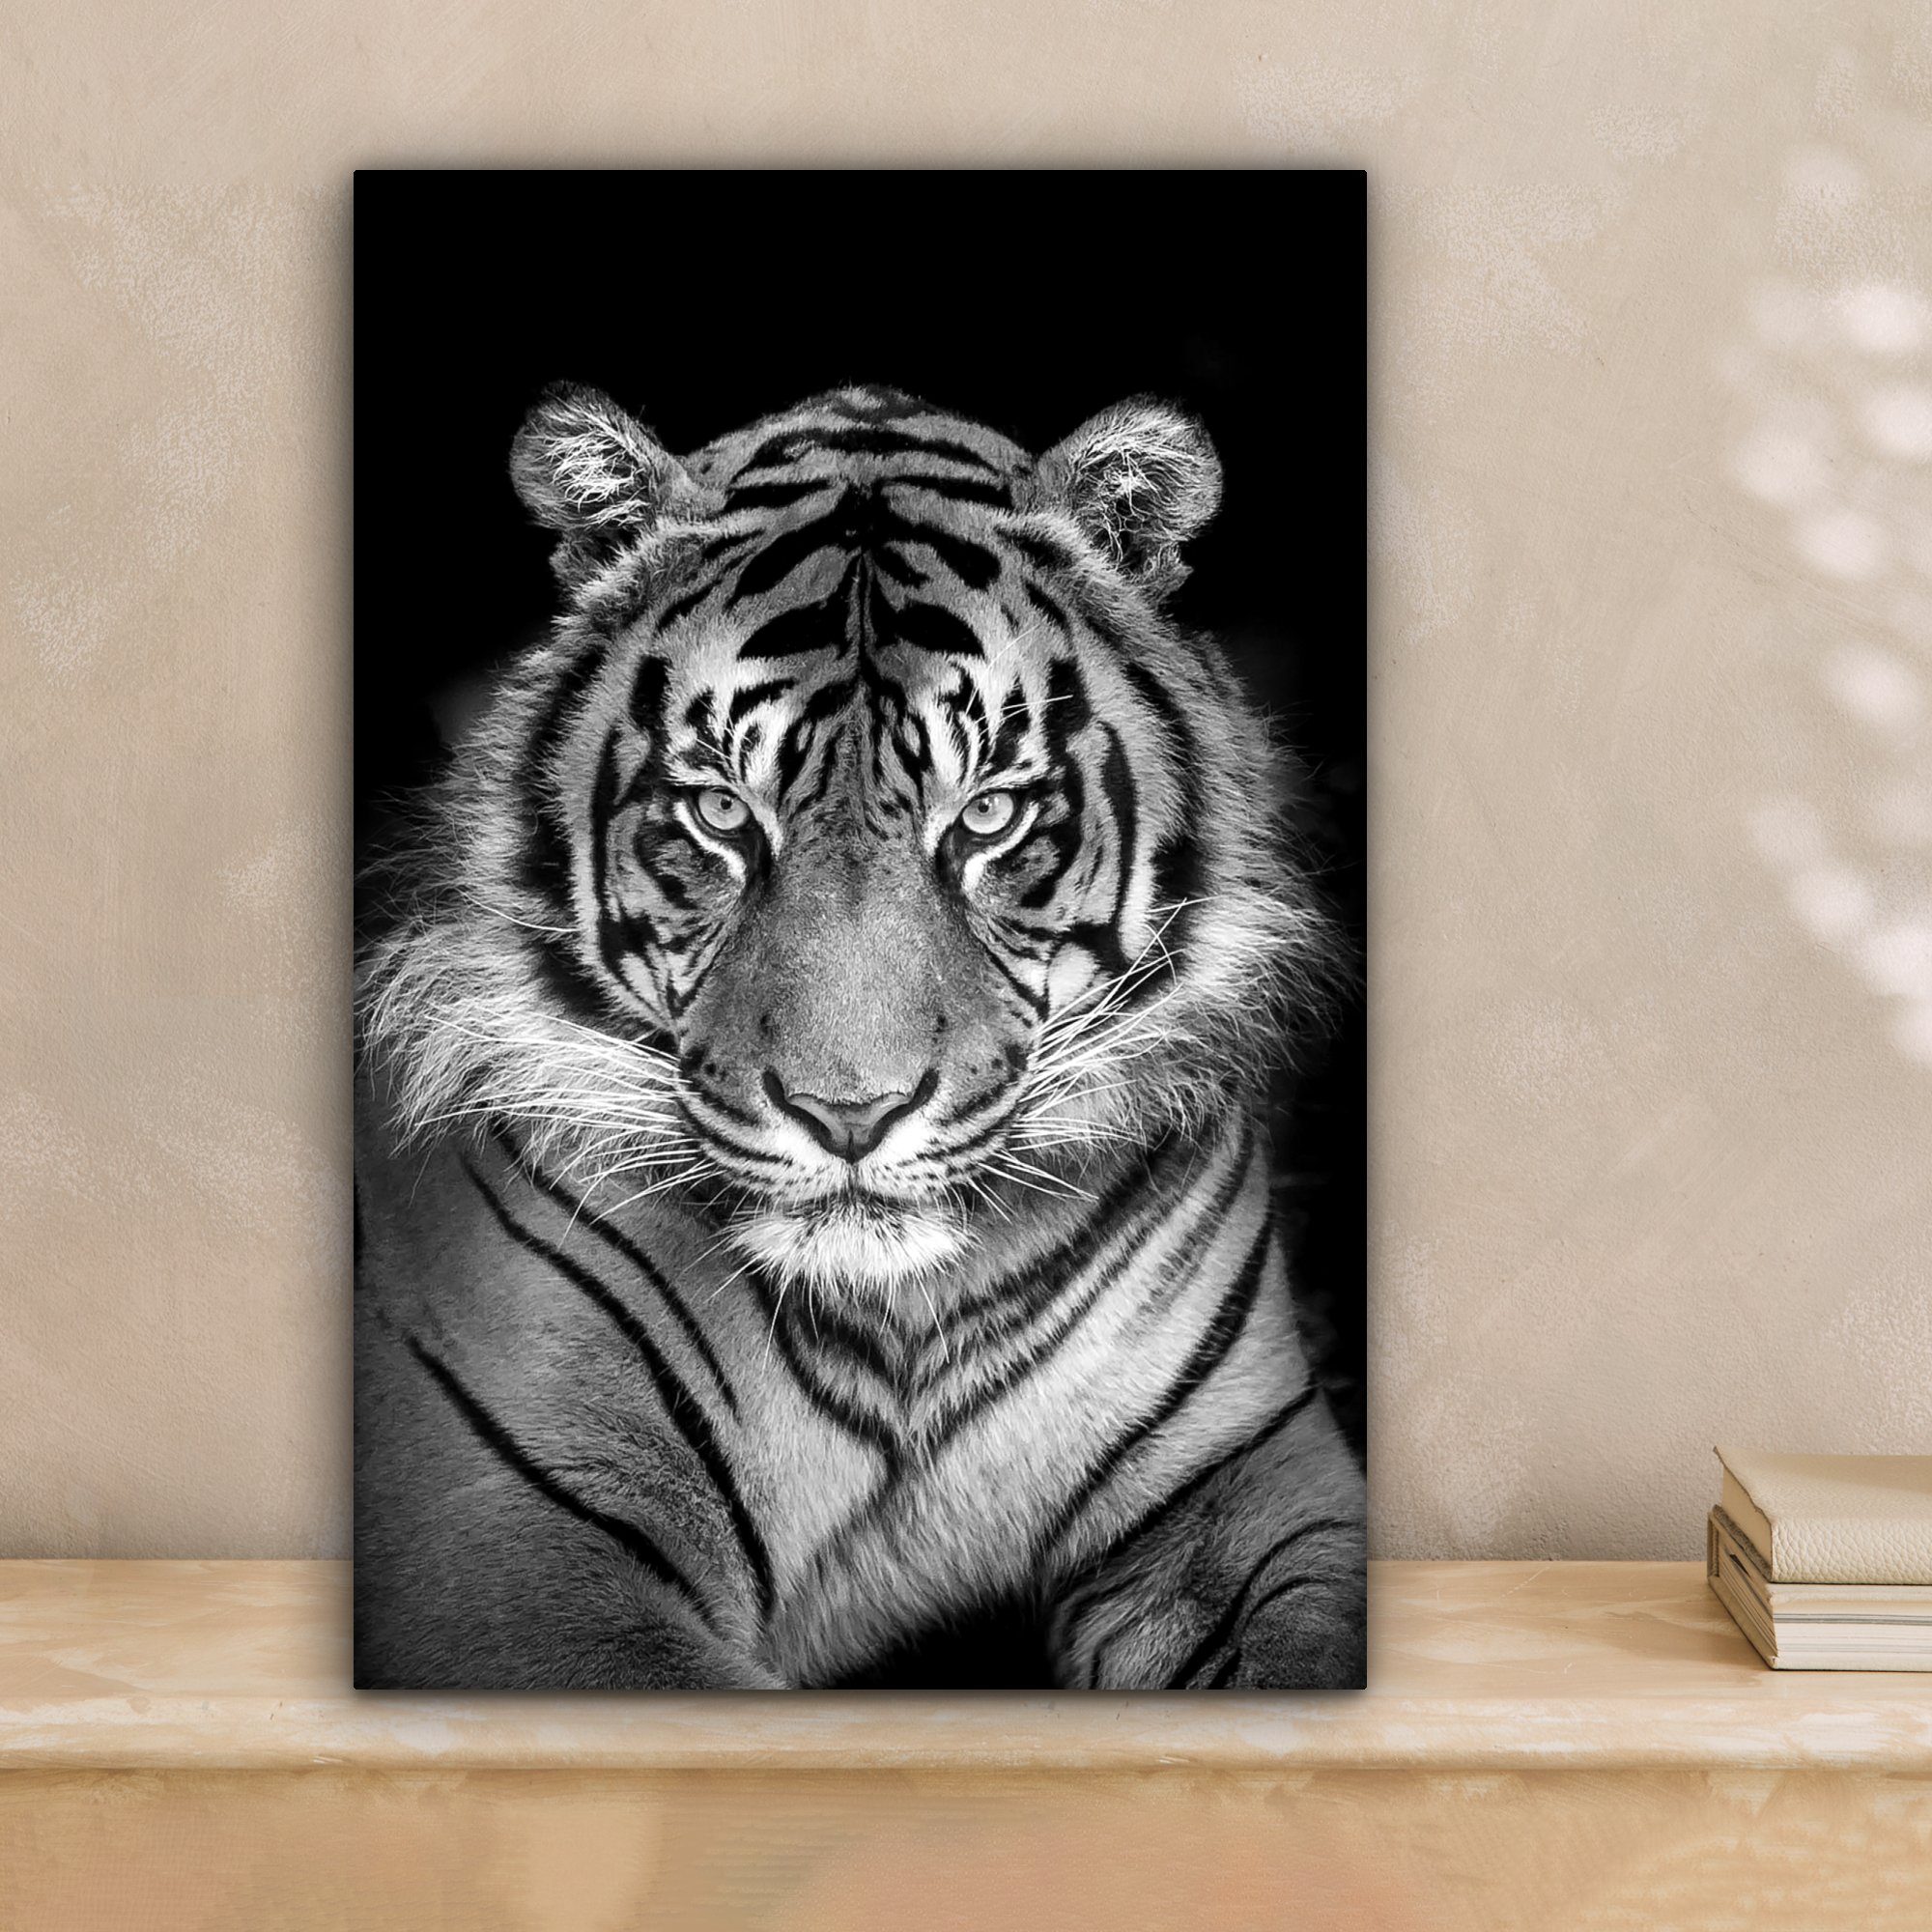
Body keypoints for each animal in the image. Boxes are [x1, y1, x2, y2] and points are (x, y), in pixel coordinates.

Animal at [353, 380, 1366, 1691]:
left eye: (985, 814)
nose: (849, 1113)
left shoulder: (1257, 1475)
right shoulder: (513, 1546)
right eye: (720, 811)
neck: (902, 1326)